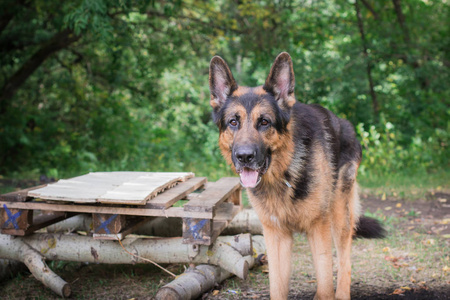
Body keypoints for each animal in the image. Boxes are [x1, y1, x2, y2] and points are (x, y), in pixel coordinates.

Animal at [209, 52, 384, 298]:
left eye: (264, 122)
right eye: (233, 122)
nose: (244, 157)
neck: (285, 173)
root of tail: (345, 124)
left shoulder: (318, 229)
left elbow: (325, 286)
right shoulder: (276, 237)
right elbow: (278, 288)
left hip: (339, 217)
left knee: (345, 261)